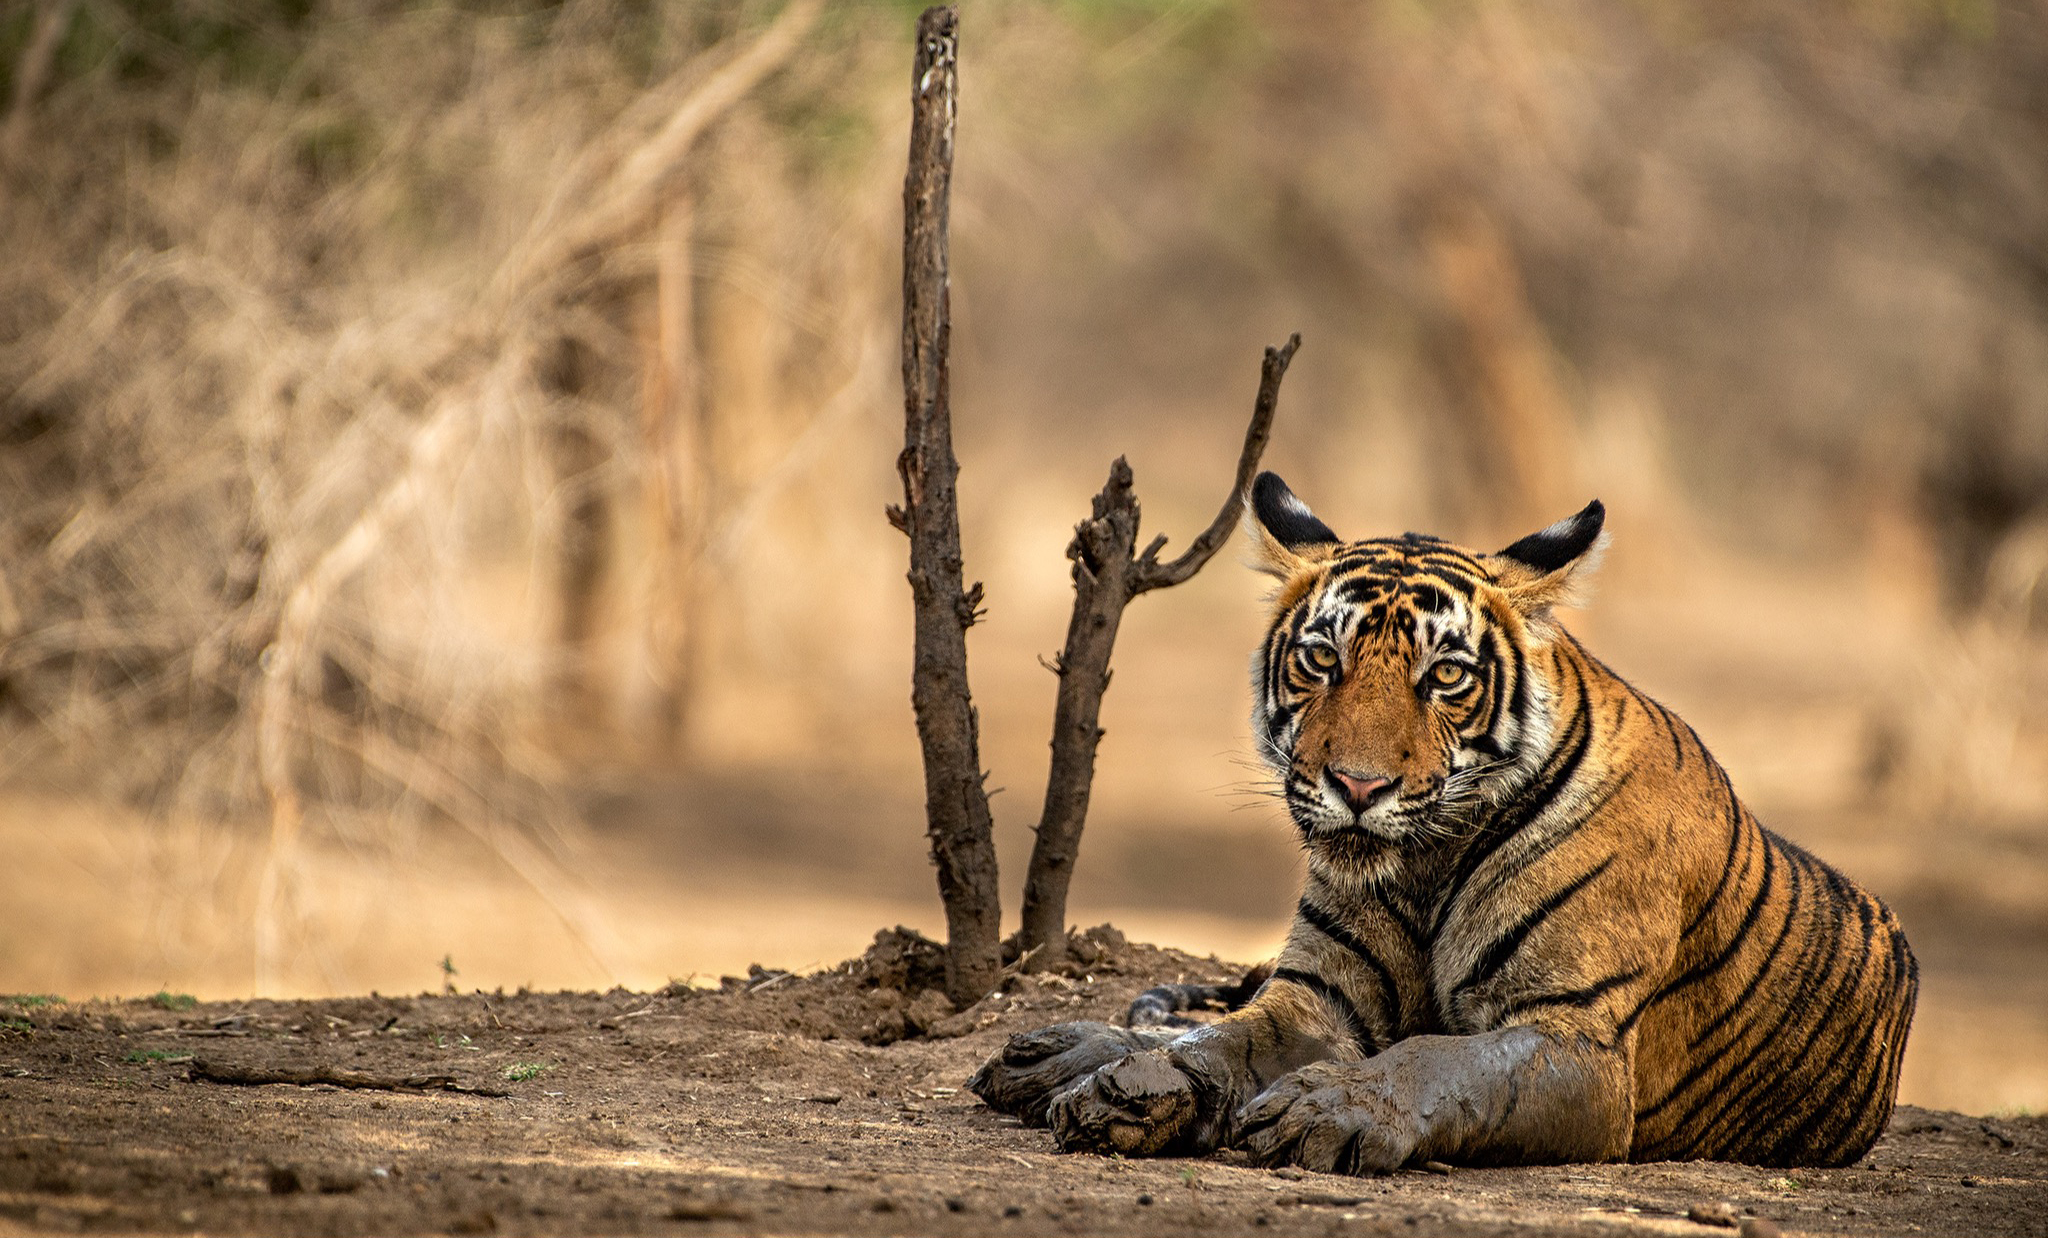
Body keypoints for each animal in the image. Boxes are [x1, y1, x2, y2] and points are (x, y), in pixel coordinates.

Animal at [969, 472, 1917, 1172]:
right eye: (1323, 659)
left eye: (1447, 676)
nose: (1358, 784)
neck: (1428, 864)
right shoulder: (1319, 996)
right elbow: (1223, 1038)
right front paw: (1133, 1085)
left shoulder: (1575, 1040)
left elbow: (1439, 1057)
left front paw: (1331, 1105)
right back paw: (1060, 1055)